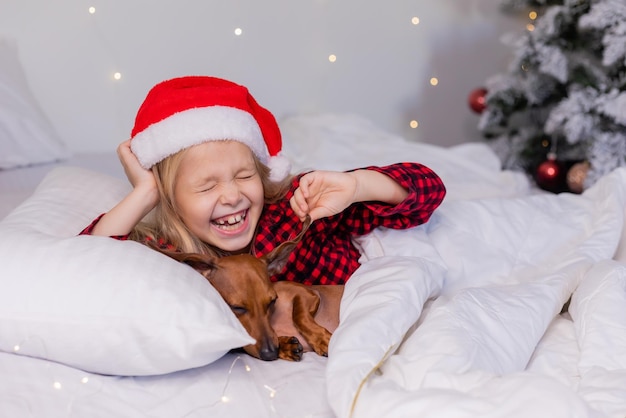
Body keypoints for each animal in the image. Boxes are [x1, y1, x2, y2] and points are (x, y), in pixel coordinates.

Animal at [155, 217, 342, 360]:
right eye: (236, 308)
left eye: (272, 301)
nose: (270, 353)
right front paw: (285, 346)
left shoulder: (308, 294)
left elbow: (299, 315)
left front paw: (321, 339)